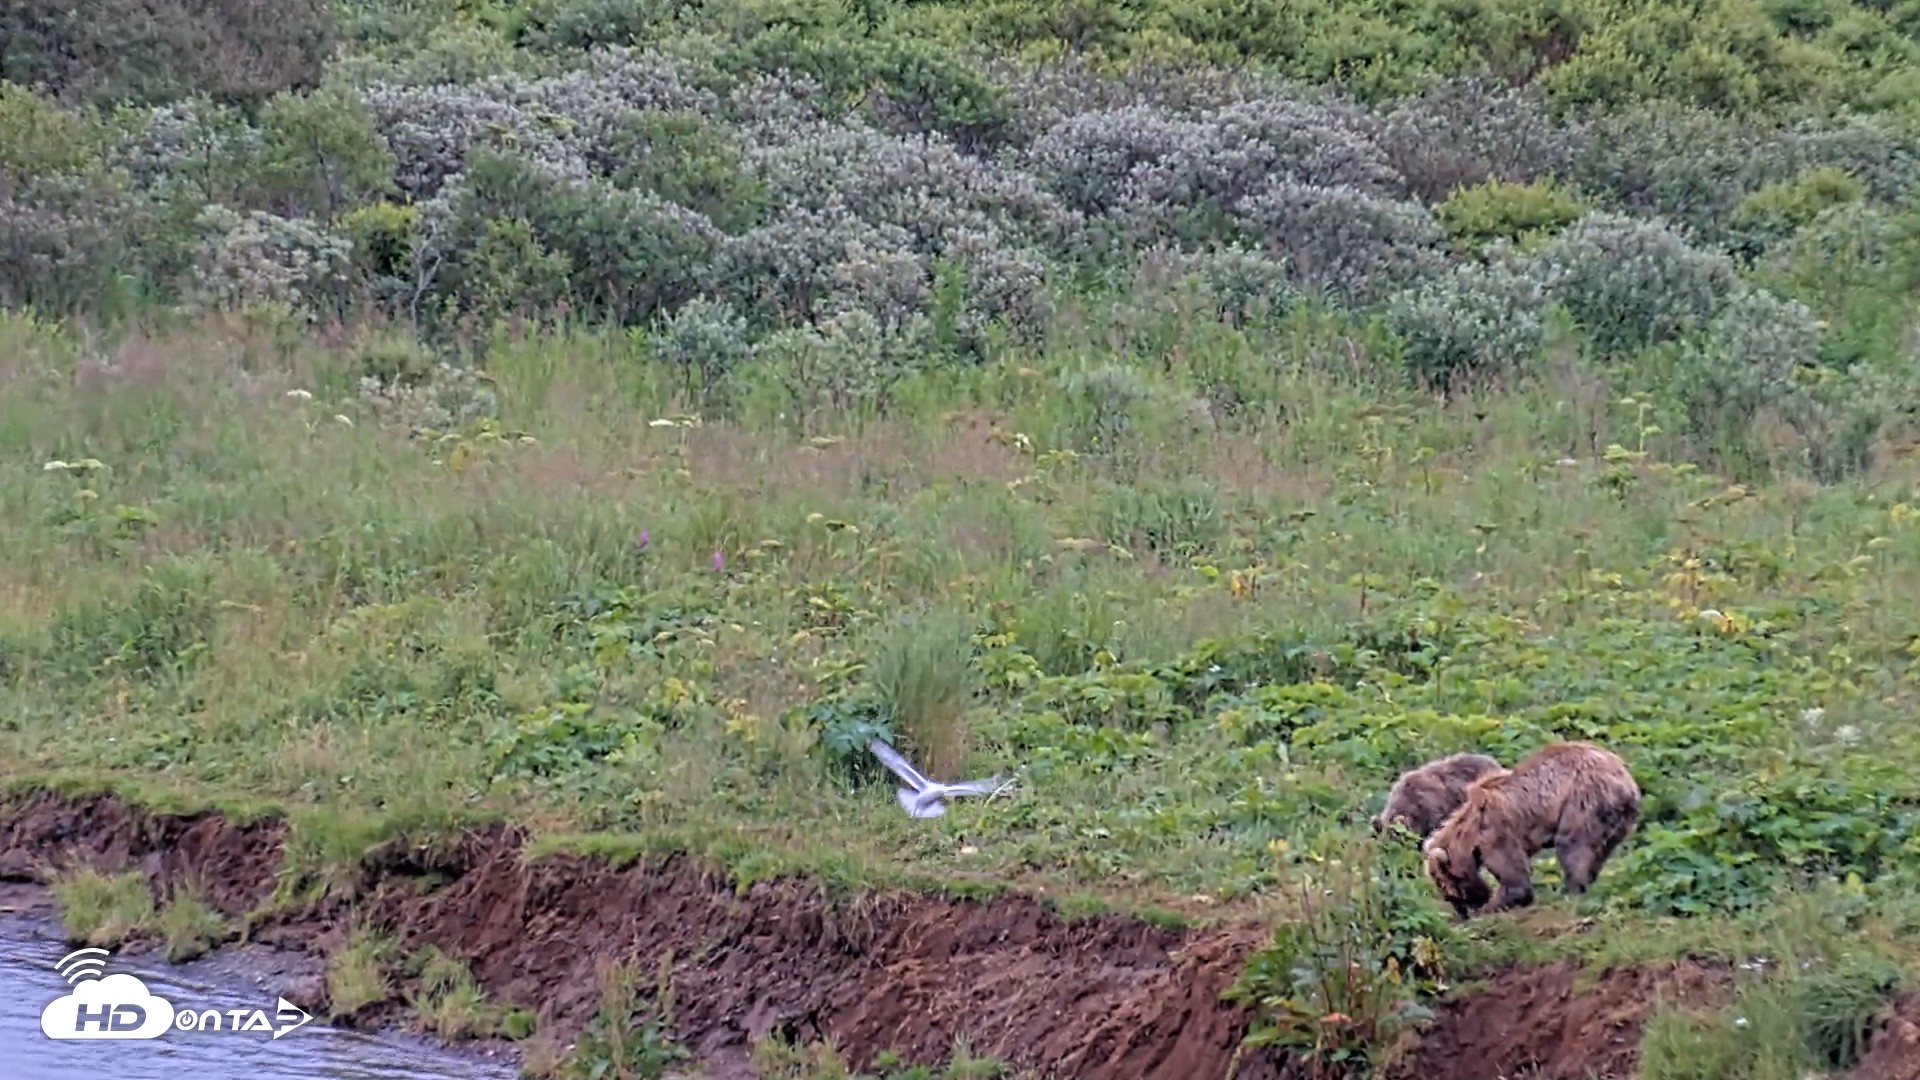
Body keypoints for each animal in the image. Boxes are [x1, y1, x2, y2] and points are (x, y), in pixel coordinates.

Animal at [1421, 740, 1640, 919]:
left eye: (1449, 888)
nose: (1463, 912)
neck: (1470, 834)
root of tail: (1626, 782)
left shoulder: (1496, 831)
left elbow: (1516, 881)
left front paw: (1489, 907)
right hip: (1617, 822)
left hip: (1583, 801)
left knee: (1572, 846)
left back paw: (1573, 890)